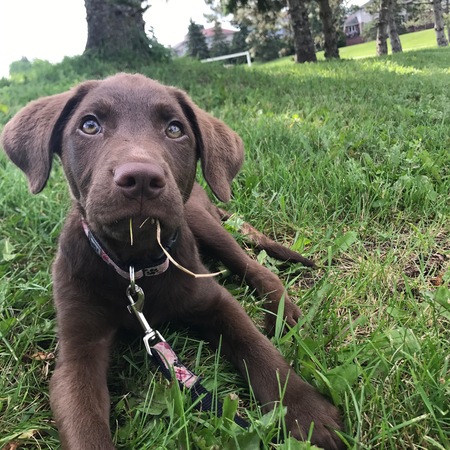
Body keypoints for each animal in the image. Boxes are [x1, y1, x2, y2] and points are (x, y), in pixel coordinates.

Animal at [1, 74, 344, 450]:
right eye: (89, 125)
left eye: (175, 129)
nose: (140, 178)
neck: (134, 267)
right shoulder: (77, 354)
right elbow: (85, 428)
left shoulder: (215, 301)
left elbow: (257, 347)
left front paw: (305, 410)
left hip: (203, 221)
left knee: (256, 268)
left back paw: (282, 311)